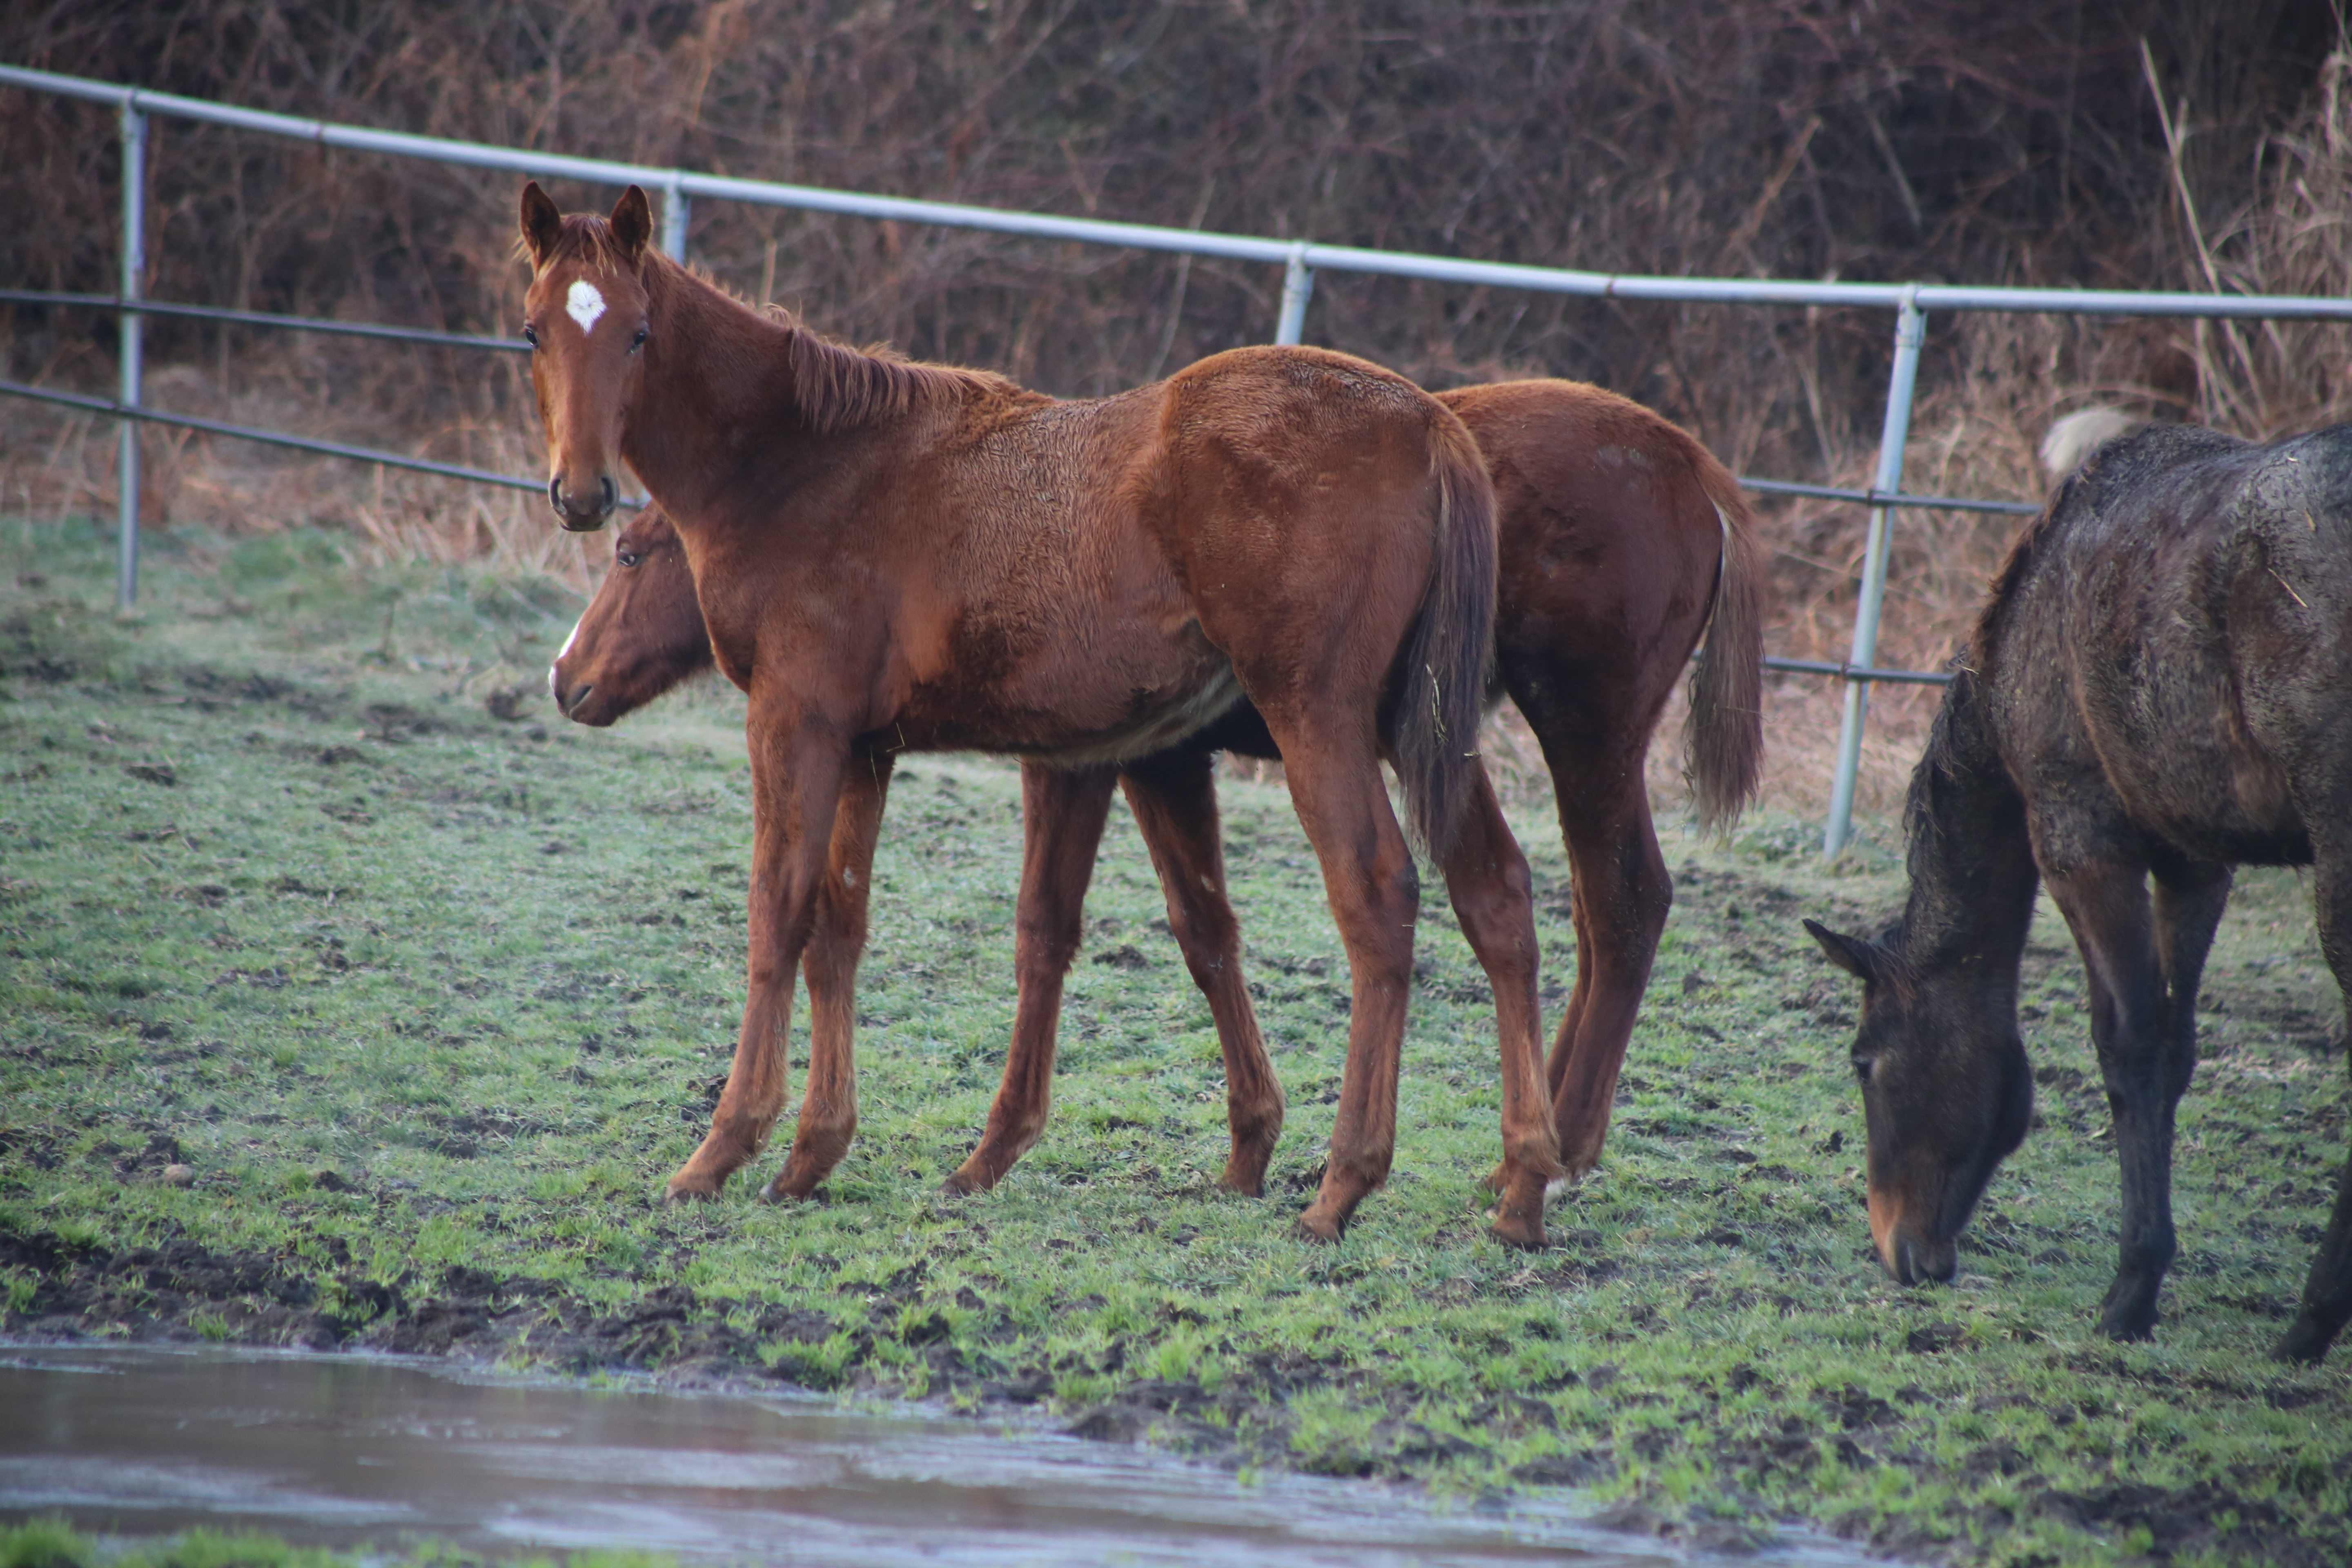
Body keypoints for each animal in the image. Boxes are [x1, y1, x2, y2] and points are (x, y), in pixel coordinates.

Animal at [524, 181, 1571, 1241]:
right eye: (534, 331)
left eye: (639, 333)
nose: (580, 494)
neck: (809, 468)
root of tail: (1429, 422)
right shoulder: (874, 749)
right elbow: (846, 927)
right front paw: (814, 1153)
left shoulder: (795, 722)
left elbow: (776, 913)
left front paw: (722, 1150)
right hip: (1420, 728)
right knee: (1495, 893)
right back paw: (1523, 1182)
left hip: (1319, 717)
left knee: (1376, 895)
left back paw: (1344, 1184)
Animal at [1806, 423, 2352, 1363]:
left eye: (1863, 1061)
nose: (1899, 1250)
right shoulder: (2193, 863)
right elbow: (2176, 1049)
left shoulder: (2079, 837)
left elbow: (2129, 1049)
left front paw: (2132, 1291)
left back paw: (2310, 1323)